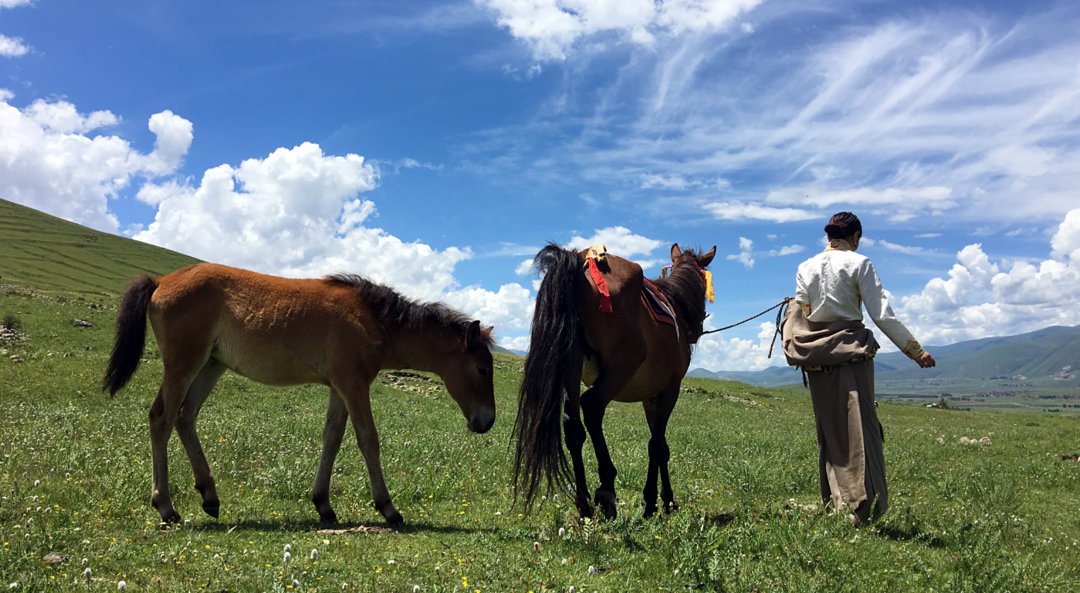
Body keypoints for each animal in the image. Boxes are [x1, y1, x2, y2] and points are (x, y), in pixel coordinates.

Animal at [101, 261, 496, 524]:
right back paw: (166, 506)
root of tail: (160, 281)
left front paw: (323, 504)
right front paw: (388, 508)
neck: (374, 320)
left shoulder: (340, 386)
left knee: (185, 417)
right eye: (482, 369)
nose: (487, 421)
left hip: (211, 365)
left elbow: (332, 438)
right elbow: (368, 440)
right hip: (184, 363)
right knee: (162, 417)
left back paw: (209, 496)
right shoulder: (354, 384)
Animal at [509, 241, 712, 518]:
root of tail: (580, 261)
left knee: (573, 426)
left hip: (571, 370)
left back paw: (583, 503)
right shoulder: (670, 391)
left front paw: (666, 500)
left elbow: (662, 448)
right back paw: (606, 488)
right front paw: (653, 502)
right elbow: (656, 446)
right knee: (592, 407)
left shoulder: (651, 398)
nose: (698, 327)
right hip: (618, 370)